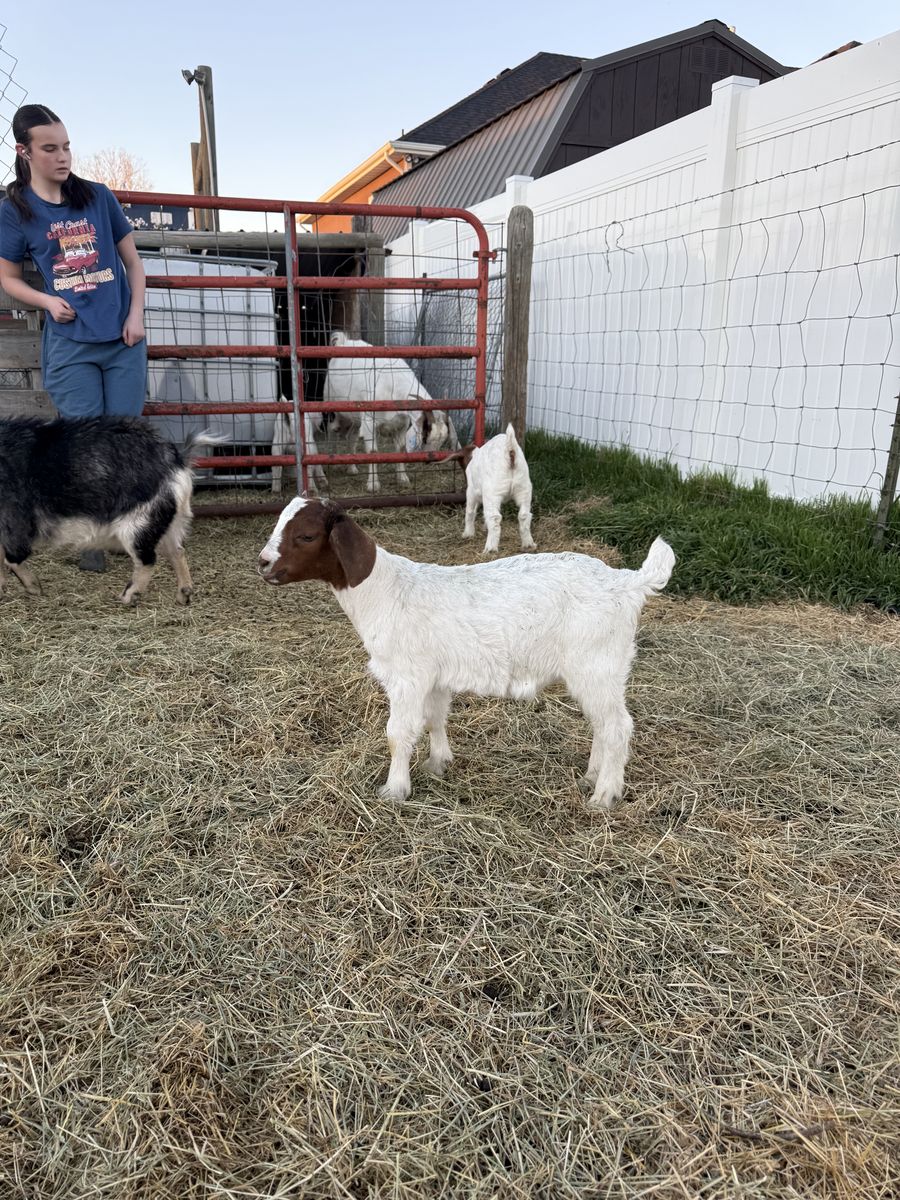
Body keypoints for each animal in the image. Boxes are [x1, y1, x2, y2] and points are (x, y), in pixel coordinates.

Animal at [0, 417, 216, 605]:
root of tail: (177, 460)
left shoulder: (15, 522)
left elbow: (11, 557)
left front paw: (35, 589)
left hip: (139, 523)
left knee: (148, 559)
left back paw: (126, 598)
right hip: (166, 521)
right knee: (177, 551)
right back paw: (182, 597)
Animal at [258, 497, 675, 810]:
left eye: (306, 535)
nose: (262, 563)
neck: (382, 592)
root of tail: (627, 582)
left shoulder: (407, 676)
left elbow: (398, 733)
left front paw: (394, 790)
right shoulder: (434, 676)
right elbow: (435, 718)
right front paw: (437, 763)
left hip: (597, 664)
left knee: (618, 727)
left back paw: (605, 795)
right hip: (599, 672)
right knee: (602, 725)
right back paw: (591, 777)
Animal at [449, 423, 535, 554]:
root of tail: (510, 450)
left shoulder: (471, 491)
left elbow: (470, 511)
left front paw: (468, 533)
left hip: (492, 492)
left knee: (495, 518)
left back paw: (490, 549)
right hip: (524, 488)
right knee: (524, 515)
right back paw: (528, 545)